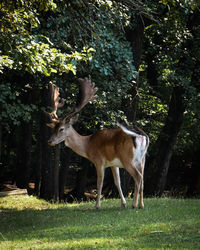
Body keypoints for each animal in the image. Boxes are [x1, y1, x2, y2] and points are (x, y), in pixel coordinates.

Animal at [45, 78, 148, 209]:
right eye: (54, 128)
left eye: (61, 129)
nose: (49, 141)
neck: (88, 145)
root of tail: (141, 135)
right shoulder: (113, 163)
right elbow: (117, 182)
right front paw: (123, 203)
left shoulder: (98, 160)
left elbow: (100, 182)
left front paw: (97, 205)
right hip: (142, 159)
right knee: (142, 178)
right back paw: (141, 205)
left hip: (127, 158)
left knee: (138, 177)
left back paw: (134, 205)